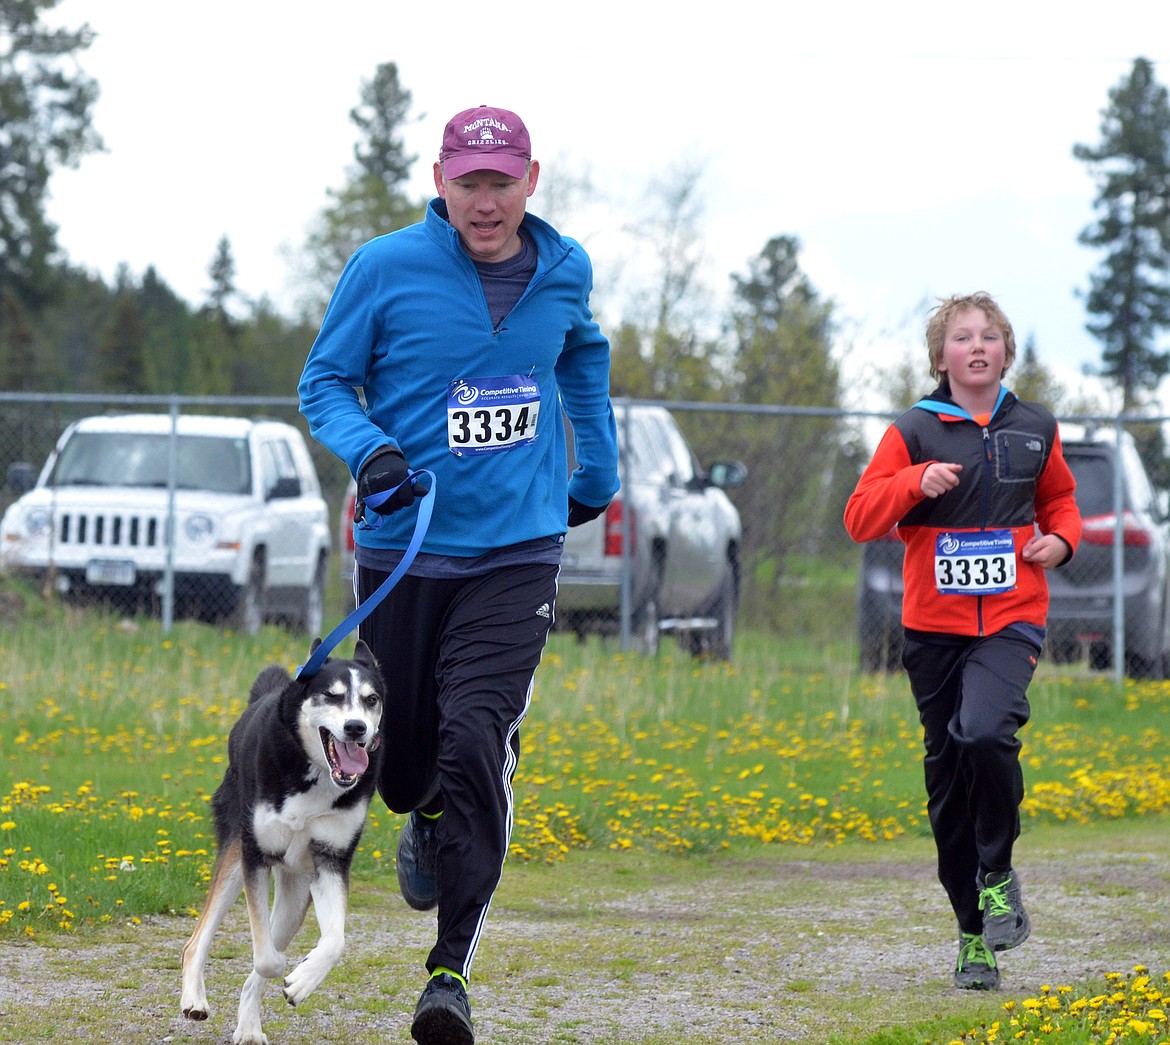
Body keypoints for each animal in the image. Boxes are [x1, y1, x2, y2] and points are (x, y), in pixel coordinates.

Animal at [180, 636, 383, 1043]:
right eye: (332, 695)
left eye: (371, 699)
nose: (356, 728)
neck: (315, 773)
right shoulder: (255, 855)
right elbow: (266, 956)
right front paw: (282, 966)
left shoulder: (330, 862)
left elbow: (334, 941)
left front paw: (303, 979)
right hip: (235, 855)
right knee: (198, 940)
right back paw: (194, 997)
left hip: (295, 893)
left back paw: (248, 1027)